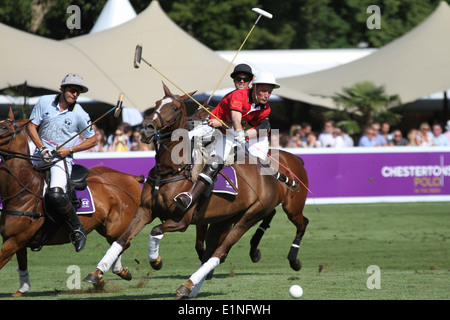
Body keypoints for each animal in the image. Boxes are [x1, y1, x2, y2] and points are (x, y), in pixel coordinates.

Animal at [0, 109, 143, 296]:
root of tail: (131, 177)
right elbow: (22, 263)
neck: (23, 190)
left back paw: (99, 273)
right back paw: (114, 273)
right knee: (118, 242)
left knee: (122, 241)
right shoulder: (14, 240)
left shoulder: (15, 240)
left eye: (4, 127)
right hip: (103, 226)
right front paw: (22, 289)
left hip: (116, 224)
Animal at [84, 84, 310, 298]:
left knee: (220, 252)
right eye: (157, 102)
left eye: (174, 107)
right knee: (212, 253)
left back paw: (187, 285)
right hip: (223, 219)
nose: (147, 128)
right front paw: (96, 273)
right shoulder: (145, 211)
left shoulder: (181, 221)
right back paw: (192, 288)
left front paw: (156, 260)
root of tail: (271, 176)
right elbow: (122, 239)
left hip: (251, 216)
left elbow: (155, 231)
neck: (169, 170)